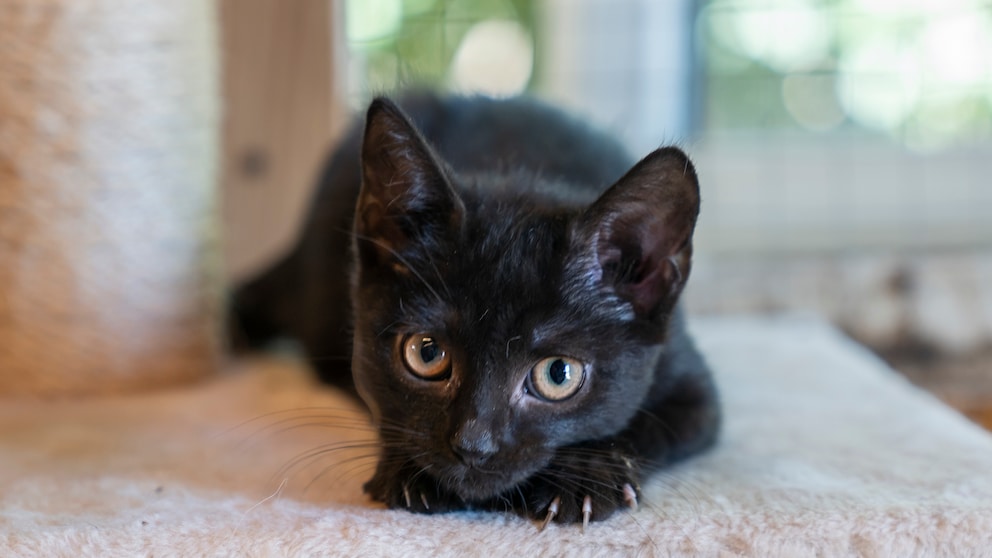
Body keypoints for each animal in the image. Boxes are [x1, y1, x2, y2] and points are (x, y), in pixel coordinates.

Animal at [229, 93, 716, 528]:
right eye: (426, 353)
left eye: (558, 374)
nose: (474, 446)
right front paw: (410, 473)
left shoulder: (693, 386)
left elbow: (650, 425)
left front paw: (583, 476)